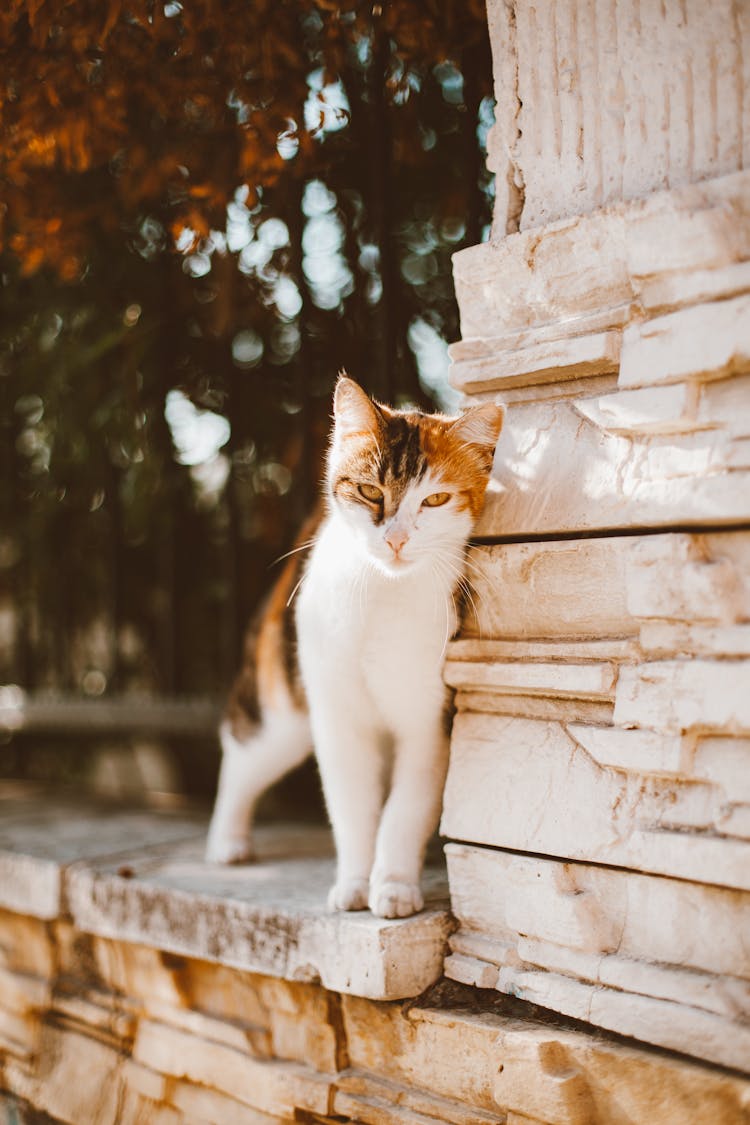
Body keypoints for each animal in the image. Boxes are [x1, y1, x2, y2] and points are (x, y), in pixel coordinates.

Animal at [203, 373, 503, 918]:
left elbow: (406, 806)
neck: (383, 592)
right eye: (368, 491)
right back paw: (226, 840)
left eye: (435, 501)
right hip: (284, 697)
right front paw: (355, 882)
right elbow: (351, 803)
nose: (396, 540)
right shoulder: (339, 717)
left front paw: (394, 885)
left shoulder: (430, 720)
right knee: (243, 748)